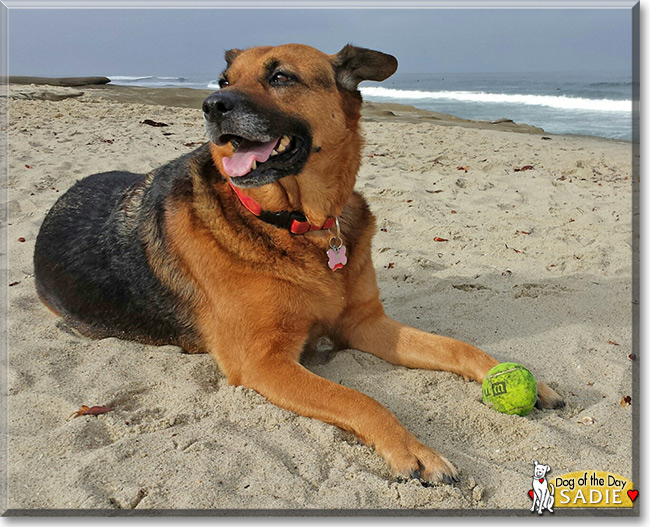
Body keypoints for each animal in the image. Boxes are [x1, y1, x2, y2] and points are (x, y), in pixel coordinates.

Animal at [34, 43, 560, 484]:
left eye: (281, 77)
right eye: (224, 80)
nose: (210, 105)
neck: (299, 224)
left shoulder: (365, 324)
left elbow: (458, 347)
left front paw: (522, 380)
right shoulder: (263, 362)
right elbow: (359, 397)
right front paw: (413, 449)